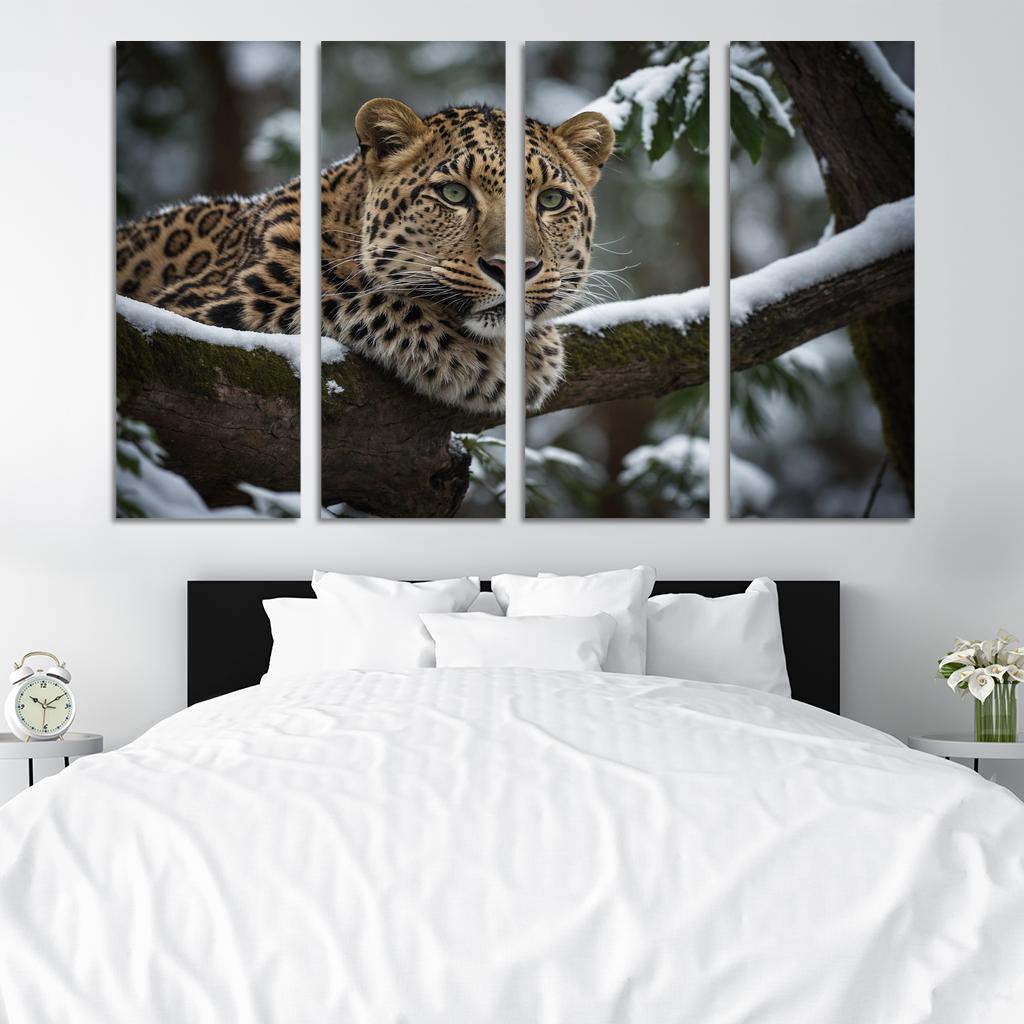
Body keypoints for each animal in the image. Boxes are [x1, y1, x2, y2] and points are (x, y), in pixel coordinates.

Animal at [116, 100, 614, 414]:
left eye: (550, 200)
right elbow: (365, 300)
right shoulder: (201, 308)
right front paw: (490, 361)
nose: (514, 269)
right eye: (454, 194)